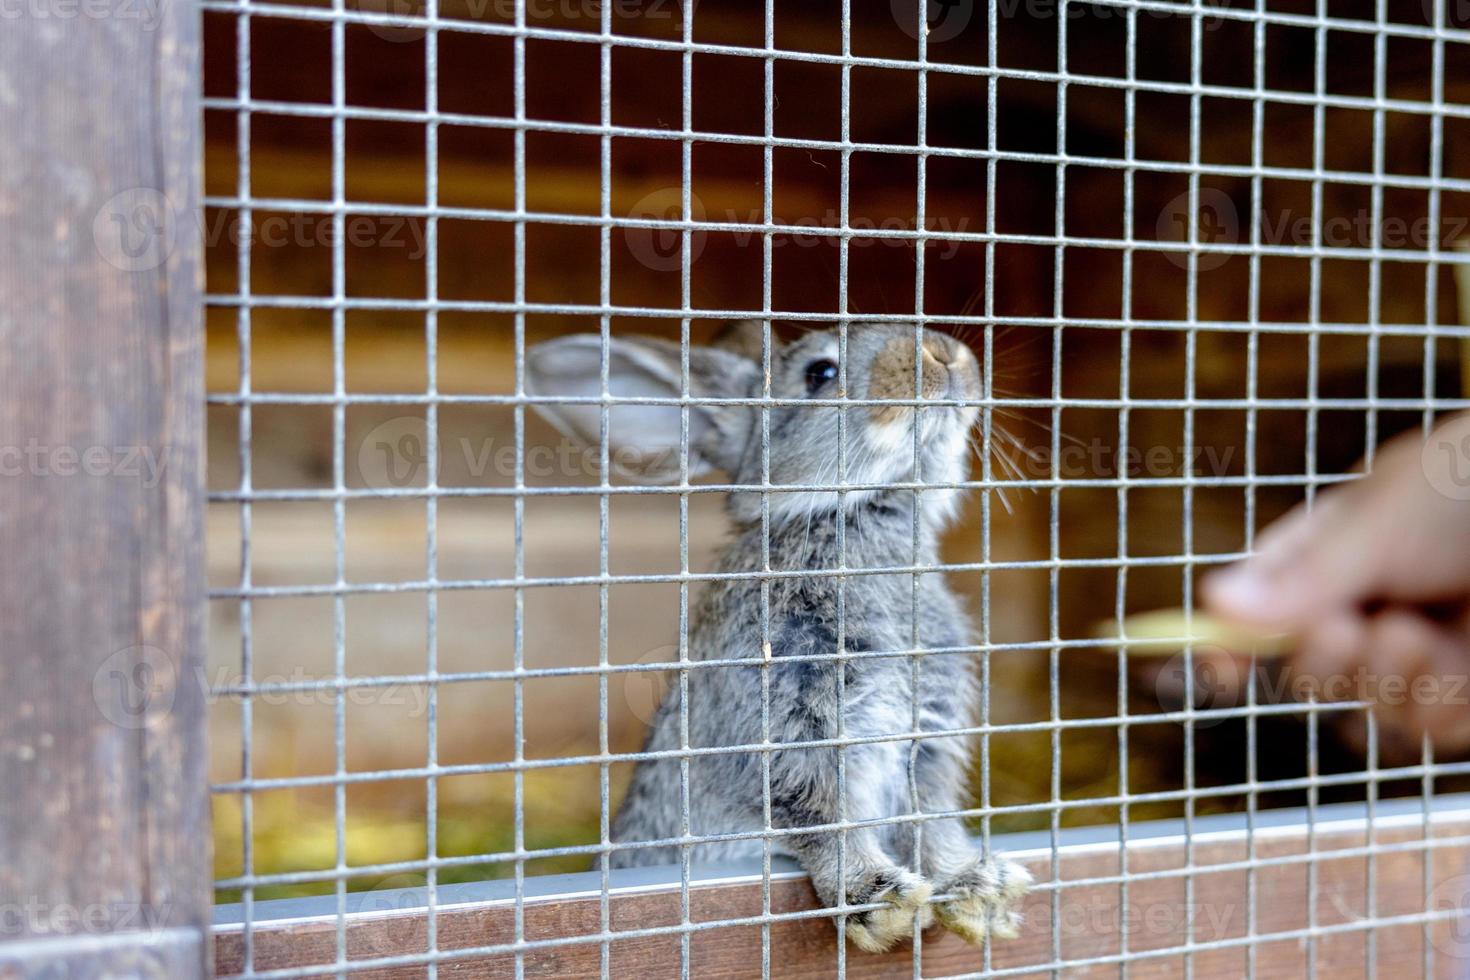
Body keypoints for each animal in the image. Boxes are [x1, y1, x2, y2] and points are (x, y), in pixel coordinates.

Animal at [529, 326, 1034, 952]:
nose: (945, 354)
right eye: (820, 374)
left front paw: (978, 890)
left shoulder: (930, 737)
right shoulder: (786, 723)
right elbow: (819, 812)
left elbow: (932, 819)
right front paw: (879, 900)